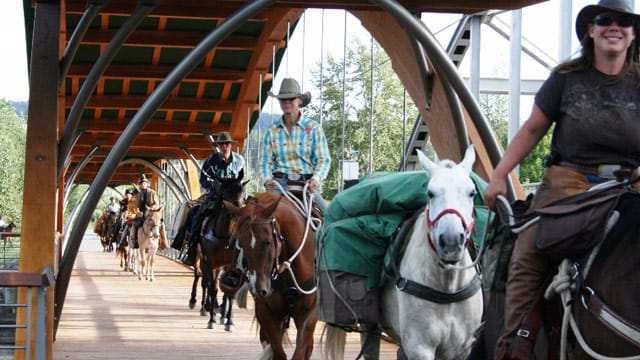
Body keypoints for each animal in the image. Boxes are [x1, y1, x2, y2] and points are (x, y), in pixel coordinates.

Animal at [225, 194, 318, 360]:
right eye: (240, 243)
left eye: (267, 242)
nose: (259, 289)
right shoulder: (265, 312)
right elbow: (278, 352)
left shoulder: (310, 312)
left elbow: (301, 350)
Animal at [324, 145, 480, 358]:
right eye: (430, 193)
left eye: (471, 192)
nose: (450, 241)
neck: (447, 290)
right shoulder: (419, 347)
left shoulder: (460, 349)